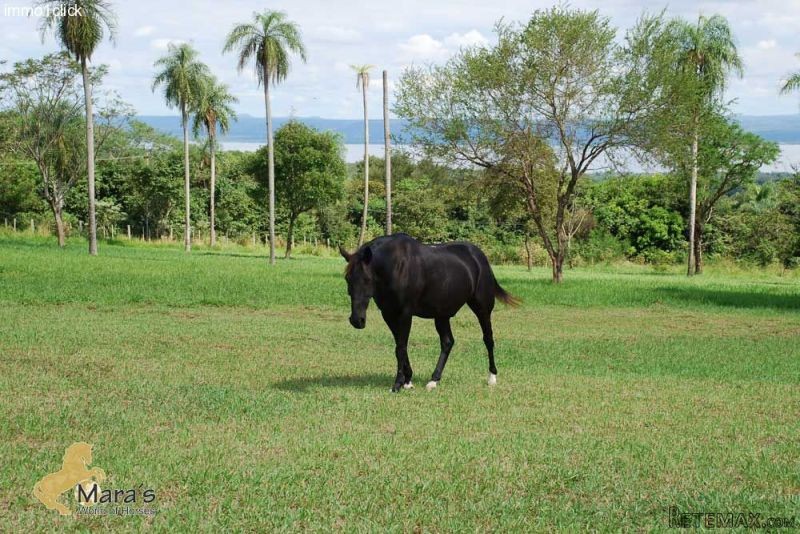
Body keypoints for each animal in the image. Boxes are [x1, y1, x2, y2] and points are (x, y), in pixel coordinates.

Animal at [340, 233, 519, 392]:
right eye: (348, 279)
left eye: (367, 279)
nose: (357, 320)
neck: (396, 266)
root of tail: (480, 257)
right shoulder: (389, 314)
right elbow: (400, 346)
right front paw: (408, 381)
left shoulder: (405, 314)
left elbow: (401, 347)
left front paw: (397, 384)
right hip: (442, 315)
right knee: (447, 342)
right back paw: (434, 380)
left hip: (482, 309)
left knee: (488, 339)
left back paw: (492, 378)